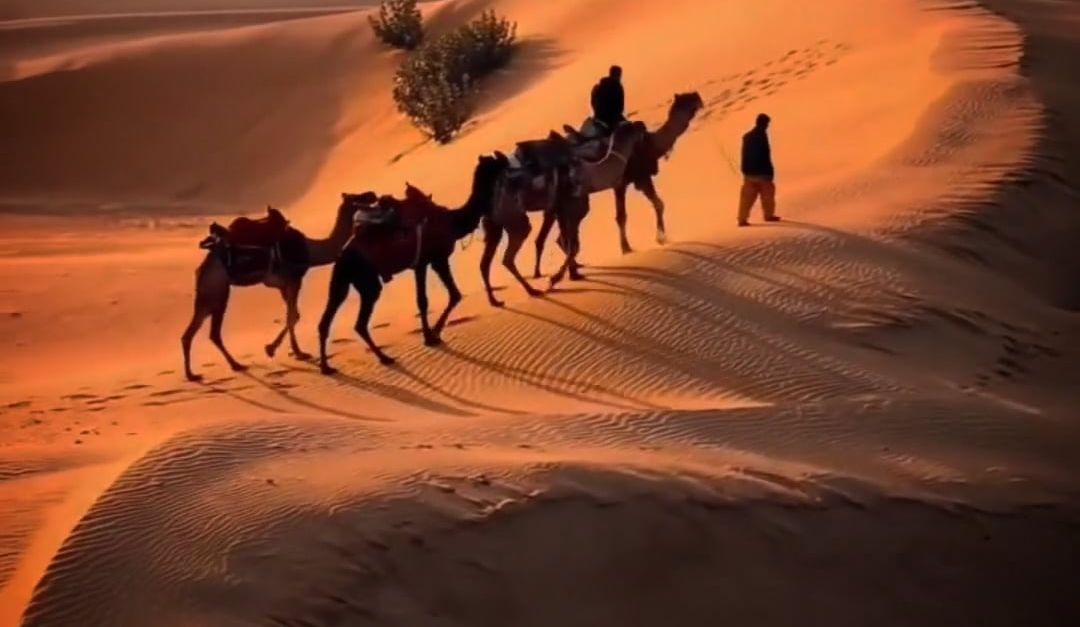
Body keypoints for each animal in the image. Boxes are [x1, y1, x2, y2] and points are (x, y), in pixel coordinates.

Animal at [181, 193, 375, 382]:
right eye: (358, 199)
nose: (372, 195)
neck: (312, 251)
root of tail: (203, 266)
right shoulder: (295, 279)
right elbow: (294, 315)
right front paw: (272, 349)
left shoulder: (284, 285)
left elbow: (292, 315)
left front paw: (297, 352)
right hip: (218, 290)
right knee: (213, 332)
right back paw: (231, 366)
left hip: (209, 292)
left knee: (193, 332)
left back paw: (196, 373)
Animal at [317, 153, 507, 374]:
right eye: (495, 163)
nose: (508, 161)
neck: (452, 220)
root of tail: (342, 255)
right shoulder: (434, 259)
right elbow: (449, 296)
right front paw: (433, 334)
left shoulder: (423, 263)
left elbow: (428, 299)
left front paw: (431, 334)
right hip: (367, 282)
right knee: (360, 323)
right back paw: (384, 358)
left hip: (343, 281)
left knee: (327, 319)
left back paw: (327, 367)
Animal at [479, 121, 647, 307]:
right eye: (631, 127)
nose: (641, 124)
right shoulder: (571, 206)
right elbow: (570, 244)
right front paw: (557, 278)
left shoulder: (562, 209)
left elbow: (568, 242)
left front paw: (573, 273)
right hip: (515, 220)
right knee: (508, 257)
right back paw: (532, 291)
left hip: (495, 225)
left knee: (485, 263)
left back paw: (495, 300)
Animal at [532, 92, 705, 274]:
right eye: (687, 99)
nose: (698, 98)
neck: (651, 144)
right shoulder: (633, 179)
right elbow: (635, 211)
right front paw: (639, 244)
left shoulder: (630, 181)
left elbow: (643, 208)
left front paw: (651, 240)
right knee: (561, 234)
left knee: (555, 235)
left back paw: (570, 266)